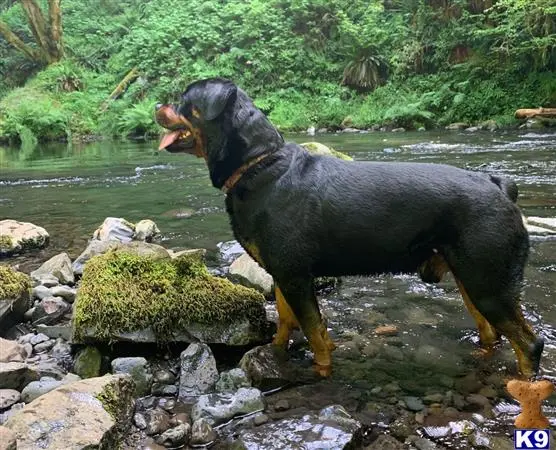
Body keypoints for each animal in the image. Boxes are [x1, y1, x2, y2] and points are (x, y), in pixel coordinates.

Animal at [155, 78, 544, 380]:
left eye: (183, 99)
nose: (157, 105)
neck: (259, 165)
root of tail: (498, 185)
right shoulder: (283, 274)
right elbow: (285, 322)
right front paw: (275, 354)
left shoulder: (295, 276)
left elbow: (314, 331)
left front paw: (322, 372)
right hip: (473, 279)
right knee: (491, 332)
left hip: (488, 282)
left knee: (529, 343)